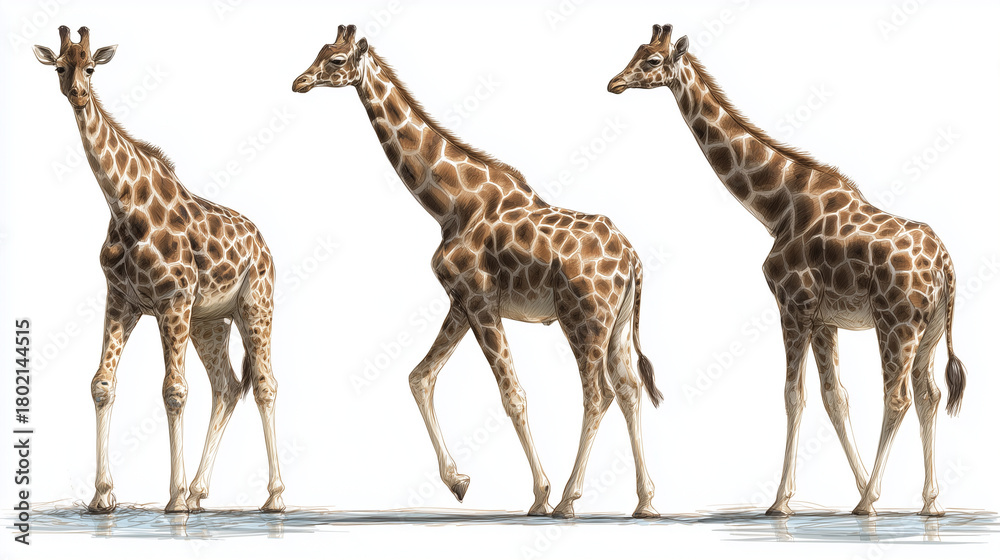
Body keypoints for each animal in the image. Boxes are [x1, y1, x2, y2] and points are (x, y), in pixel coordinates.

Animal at [33, 26, 285, 513]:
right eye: (59, 66)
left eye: (90, 67)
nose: (77, 94)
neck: (123, 205)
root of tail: (264, 245)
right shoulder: (122, 300)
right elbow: (102, 384)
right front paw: (102, 496)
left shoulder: (173, 300)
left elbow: (174, 390)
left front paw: (174, 500)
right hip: (210, 321)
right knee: (227, 385)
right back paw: (201, 491)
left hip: (254, 306)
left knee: (265, 383)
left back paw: (274, 497)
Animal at [293, 25, 663, 518]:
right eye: (319, 51)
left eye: (335, 60)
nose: (299, 82)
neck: (451, 204)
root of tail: (633, 260)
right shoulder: (460, 300)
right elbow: (420, 377)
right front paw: (458, 481)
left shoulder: (479, 297)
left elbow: (513, 395)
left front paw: (539, 495)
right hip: (617, 324)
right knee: (628, 389)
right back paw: (645, 502)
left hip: (583, 318)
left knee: (598, 394)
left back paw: (568, 500)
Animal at [608, 24, 967, 517]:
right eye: (636, 52)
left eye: (652, 61)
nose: (614, 83)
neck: (777, 205)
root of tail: (946, 264)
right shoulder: (823, 319)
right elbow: (836, 398)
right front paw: (859, 489)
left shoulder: (792, 305)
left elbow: (792, 397)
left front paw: (783, 501)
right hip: (929, 330)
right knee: (929, 396)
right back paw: (929, 503)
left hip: (896, 324)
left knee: (898, 397)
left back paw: (873, 501)